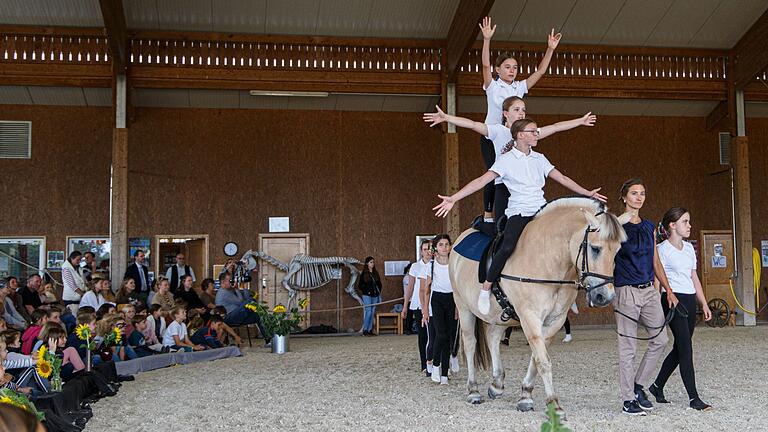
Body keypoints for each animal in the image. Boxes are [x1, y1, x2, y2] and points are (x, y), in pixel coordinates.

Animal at [452, 197, 628, 416]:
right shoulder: (530, 316)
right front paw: (554, 403)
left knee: (492, 337)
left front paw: (526, 395)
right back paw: (473, 390)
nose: (605, 296)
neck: (547, 261)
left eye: (617, 251)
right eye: (595, 249)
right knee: (470, 344)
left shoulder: (554, 320)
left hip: (500, 313)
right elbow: (543, 361)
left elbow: (537, 357)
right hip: (463, 306)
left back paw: (497, 384)